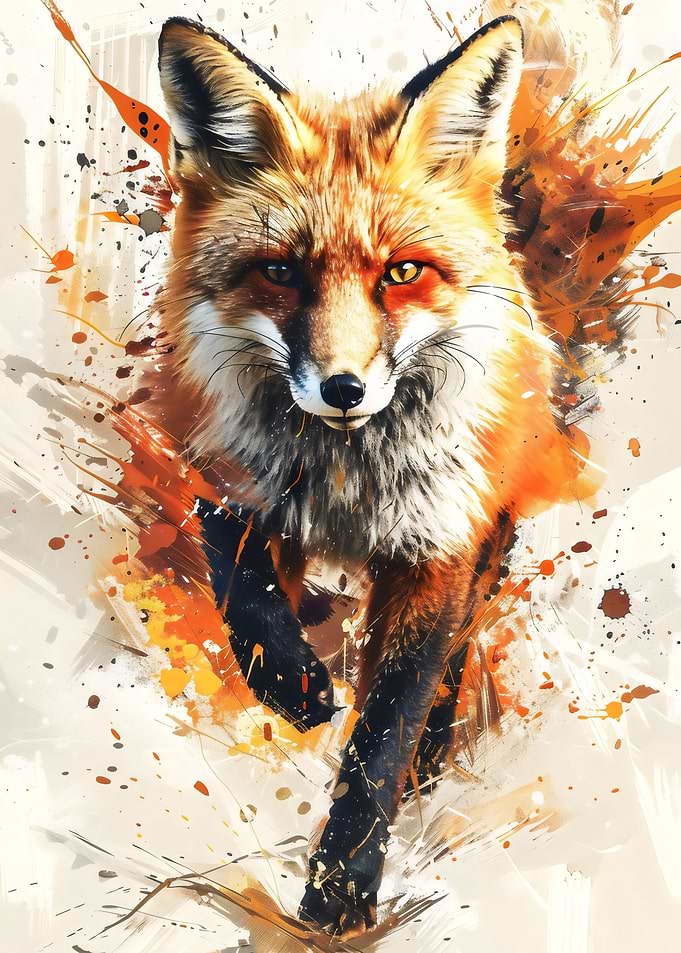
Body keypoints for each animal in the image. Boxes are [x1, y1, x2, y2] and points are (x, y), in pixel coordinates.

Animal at [152, 12, 568, 937]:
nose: (342, 388)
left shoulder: (436, 543)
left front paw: (339, 892)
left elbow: (385, 726)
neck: (346, 487)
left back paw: (431, 759)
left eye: (402, 272)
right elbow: (238, 576)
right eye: (280, 270)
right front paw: (292, 682)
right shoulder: (215, 465)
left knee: (454, 655)